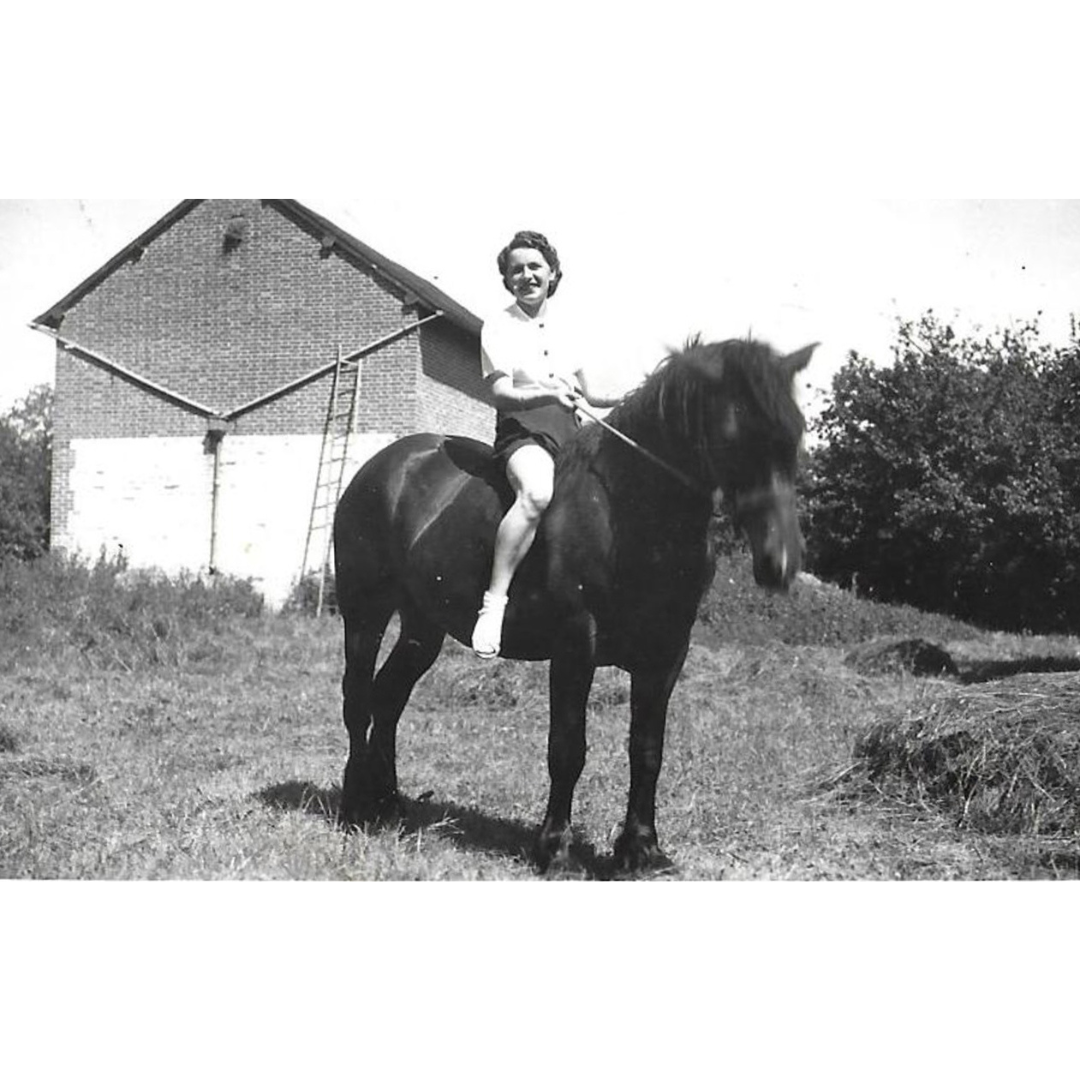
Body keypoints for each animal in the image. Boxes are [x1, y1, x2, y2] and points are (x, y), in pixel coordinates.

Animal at [332, 336, 814, 873]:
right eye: (735, 433)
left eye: (796, 431)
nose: (781, 564)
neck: (629, 511)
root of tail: (388, 461)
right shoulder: (574, 646)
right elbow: (568, 748)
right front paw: (556, 848)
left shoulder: (666, 656)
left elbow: (647, 750)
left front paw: (642, 849)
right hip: (365, 612)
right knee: (358, 698)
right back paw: (355, 806)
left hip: (423, 626)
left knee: (388, 697)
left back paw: (387, 803)